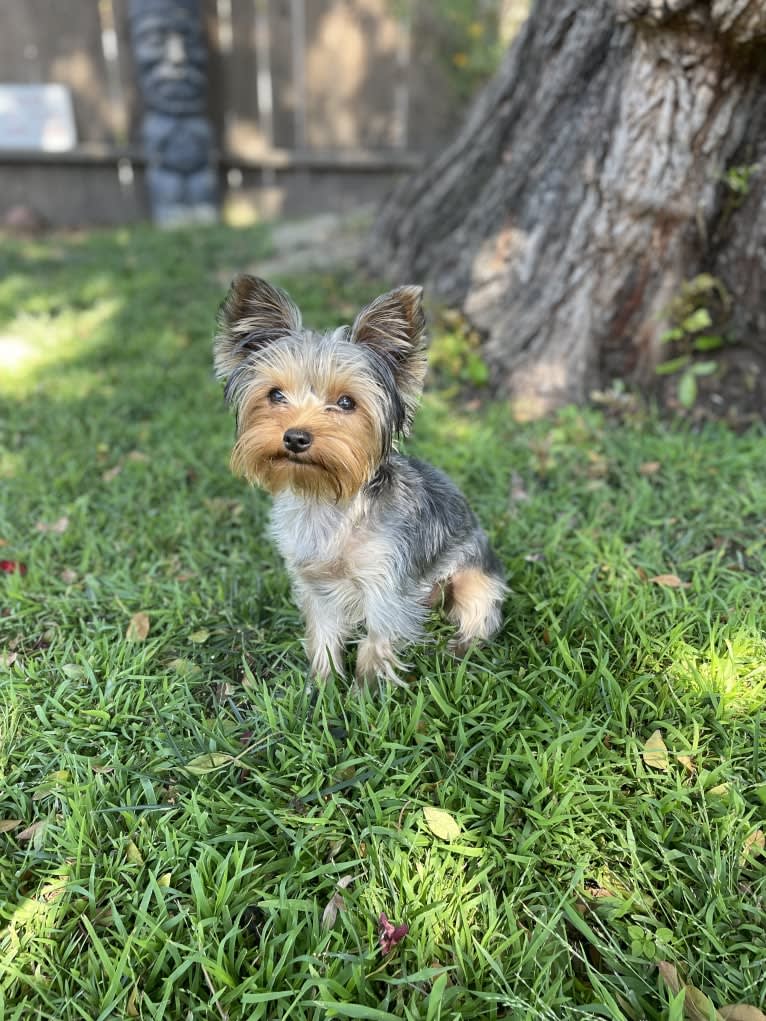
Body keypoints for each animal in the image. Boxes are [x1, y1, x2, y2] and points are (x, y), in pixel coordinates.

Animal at [214, 275, 504, 690]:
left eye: (347, 403)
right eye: (275, 395)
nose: (296, 437)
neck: (325, 498)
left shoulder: (386, 587)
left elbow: (374, 644)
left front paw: (364, 696)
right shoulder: (315, 584)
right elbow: (323, 634)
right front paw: (321, 688)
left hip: (473, 578)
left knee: (479, 616)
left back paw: (459, 650)